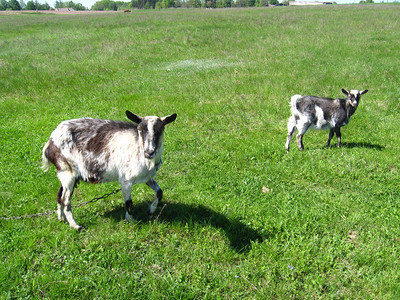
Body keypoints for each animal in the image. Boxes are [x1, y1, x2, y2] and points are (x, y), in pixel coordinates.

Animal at [41, 110, 177, 230]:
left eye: (160, 130)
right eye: (140, 130)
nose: (149, 152)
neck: (138, 148)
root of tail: (50, 143)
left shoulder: (147, 177)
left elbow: (159, 192)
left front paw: (150, 211)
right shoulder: (126, 180)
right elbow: (129, 202)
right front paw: (131, 221)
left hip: (66, 174)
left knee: (59, 194)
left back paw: (61, 218)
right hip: (68, 172)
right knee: (65, 200)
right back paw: (75, 226)